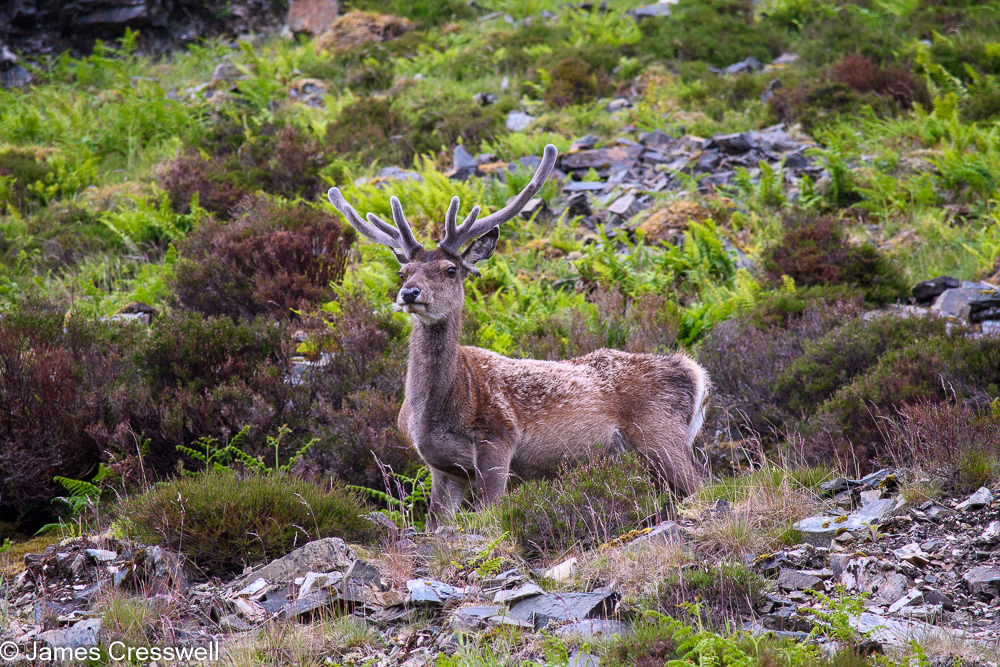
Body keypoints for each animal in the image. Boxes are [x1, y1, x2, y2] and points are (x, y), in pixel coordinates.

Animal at [327, 144, 709, 530]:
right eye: (403, 271)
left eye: (450, 270)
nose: (409, 293)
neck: (433, 411)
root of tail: (694, 372)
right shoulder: (442, 466)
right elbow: (437, 524)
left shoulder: (498, 439)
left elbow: (491, 513)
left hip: (659, 432)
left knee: (703, 487)